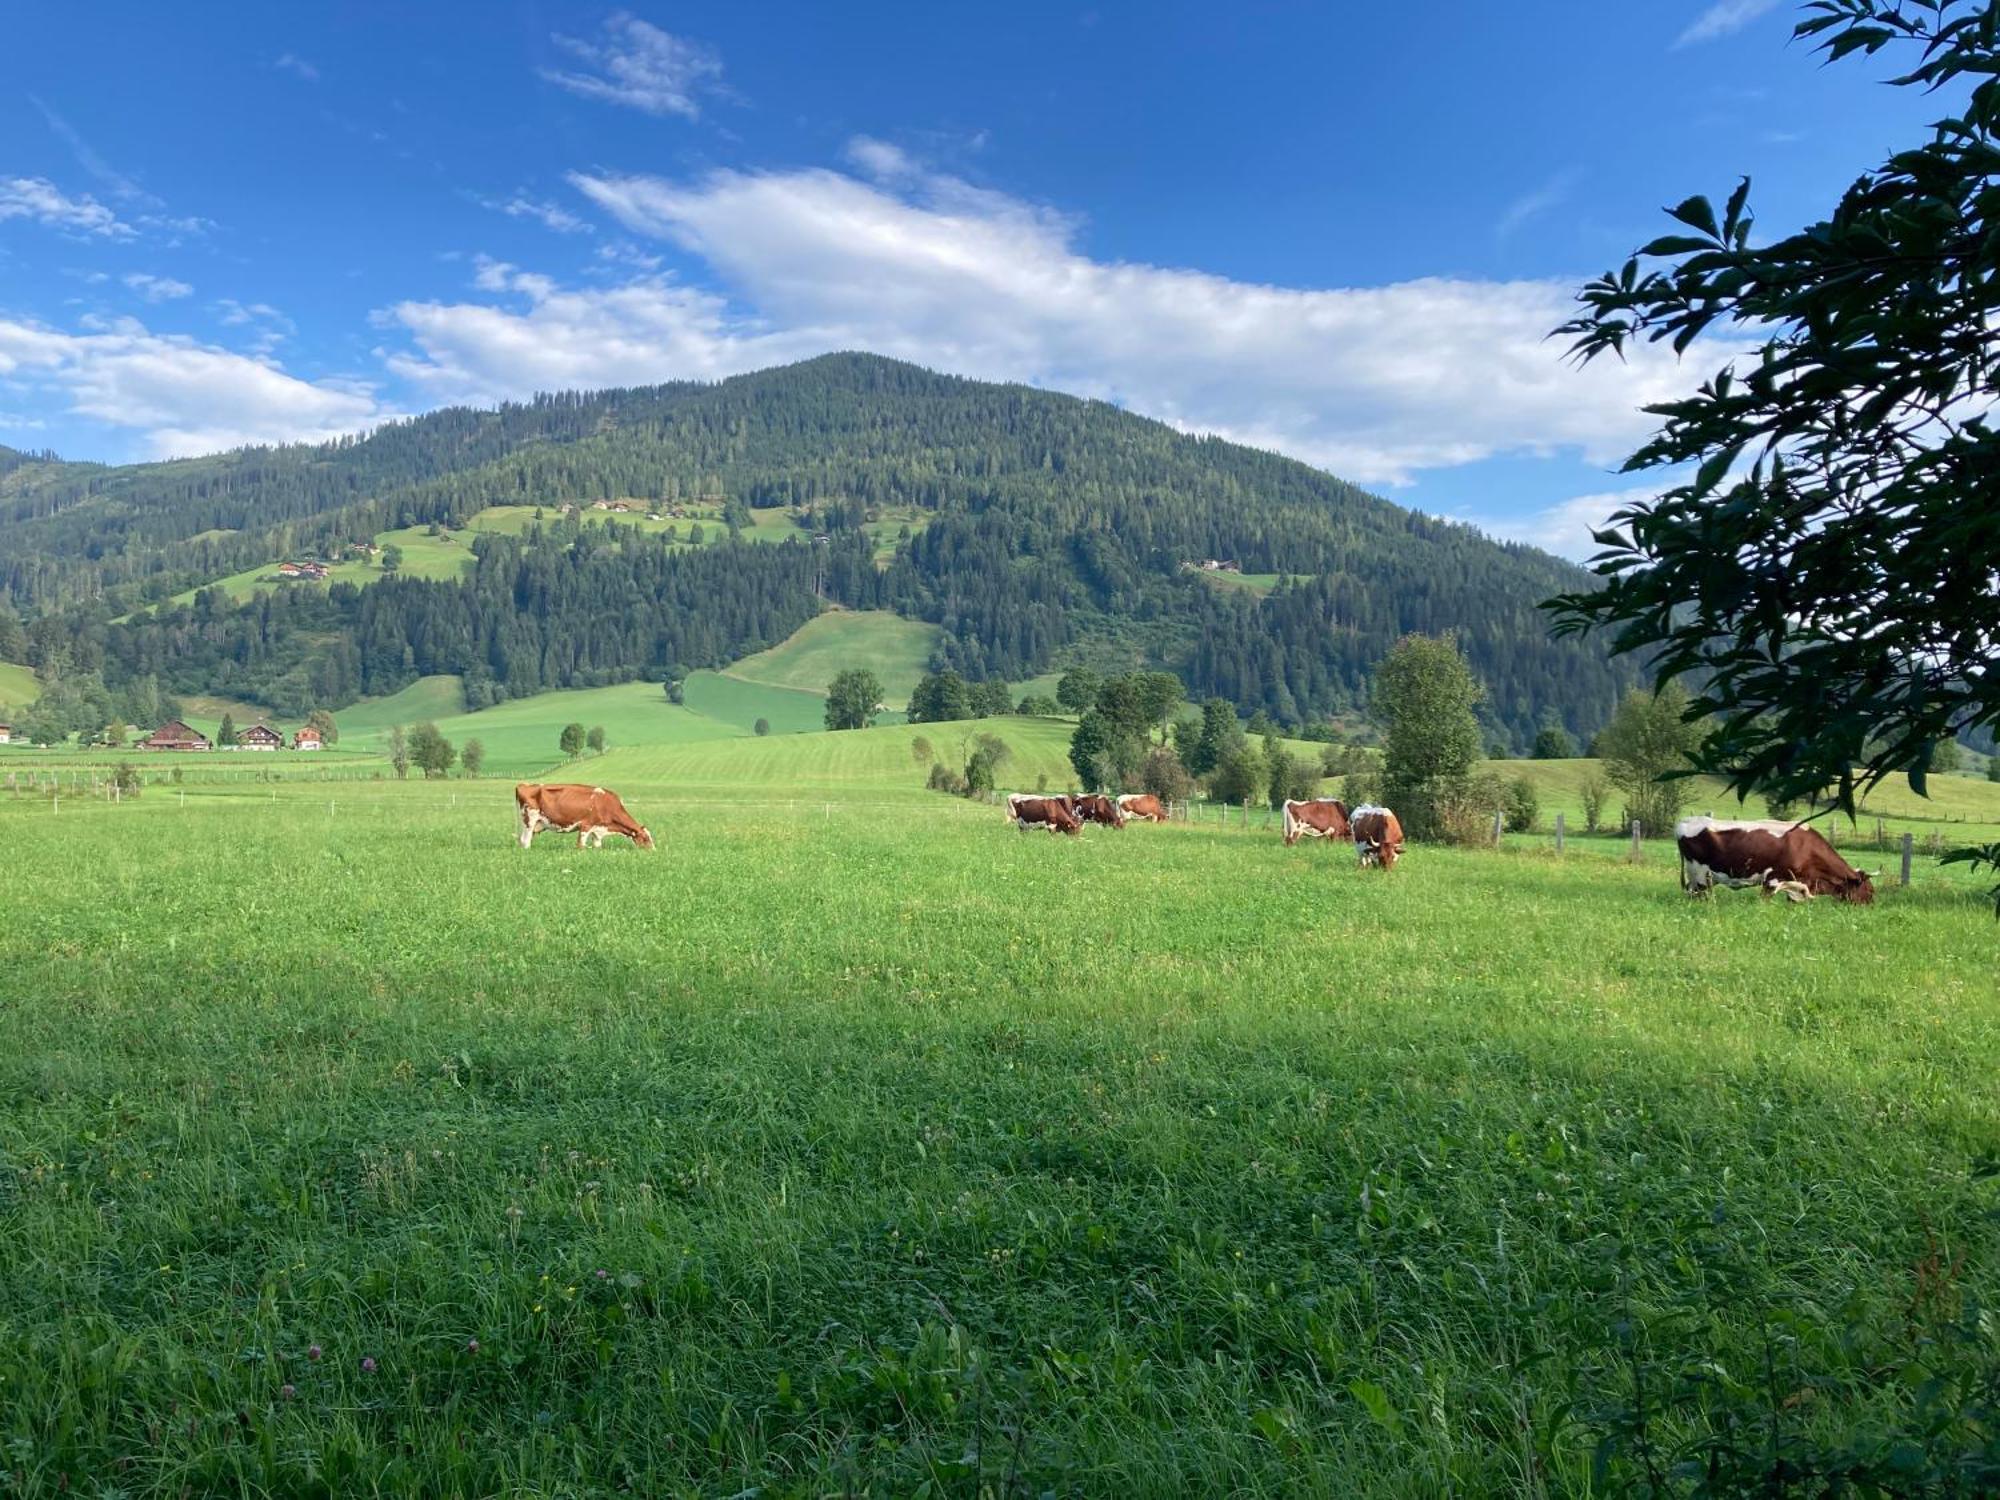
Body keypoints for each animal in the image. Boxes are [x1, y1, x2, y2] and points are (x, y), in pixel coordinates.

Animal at [516, 780, 656, 852]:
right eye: (645, 839)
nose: (653, 851)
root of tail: (524, 785)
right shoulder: (585, 826)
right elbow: (581, 846)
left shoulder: (598, 830)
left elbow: (597, 846)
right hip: (529, 820)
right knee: (525, 841)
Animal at [1672, 824, 1872, 904]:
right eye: (1870, 890)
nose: (1871, 906)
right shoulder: (1772, 879)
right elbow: (1764, 901)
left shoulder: (1796, 881)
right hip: (1699, 874)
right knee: (1697, 894)